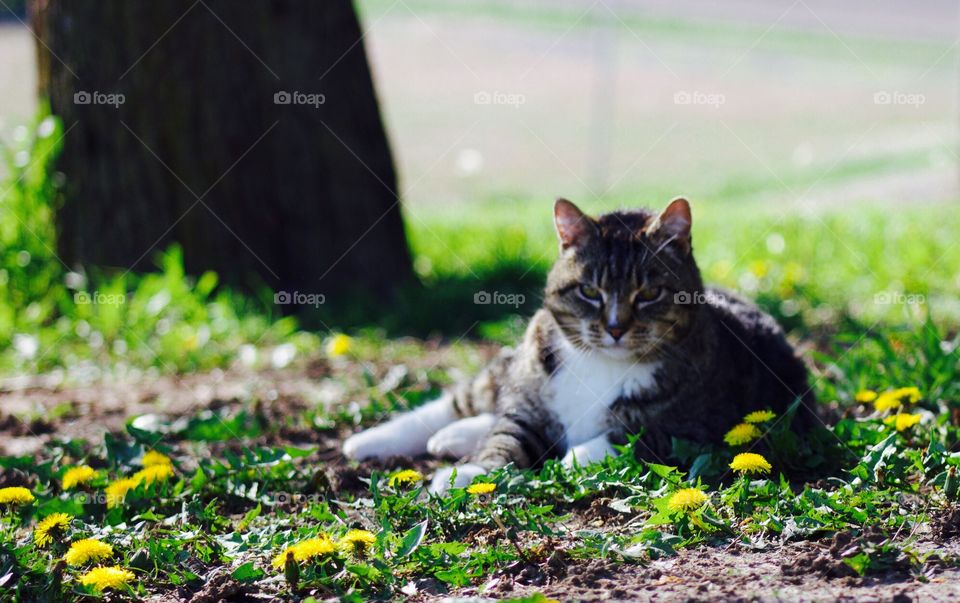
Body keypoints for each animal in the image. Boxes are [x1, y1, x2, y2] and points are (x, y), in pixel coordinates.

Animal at [342, 196, 812, 494]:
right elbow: (506, 438)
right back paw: (371, 441)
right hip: (521, 361)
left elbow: (631, 436)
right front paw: (470, 473)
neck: (602, 362)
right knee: (468, 401)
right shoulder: (529, 399)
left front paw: (570, 458)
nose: (615, 327)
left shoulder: (703, 430)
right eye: (589, 291)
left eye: (649, 294)